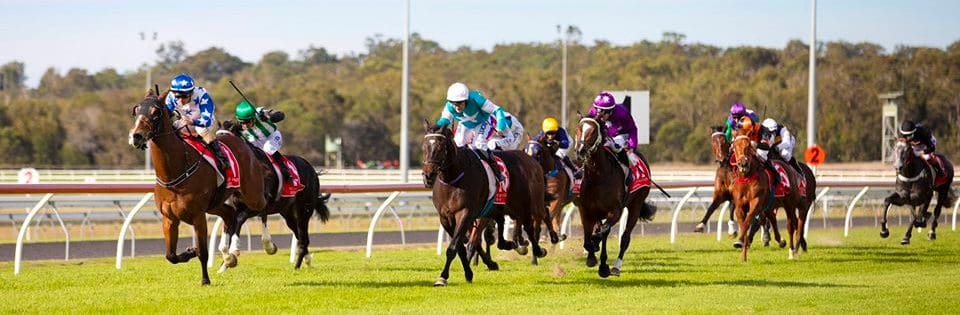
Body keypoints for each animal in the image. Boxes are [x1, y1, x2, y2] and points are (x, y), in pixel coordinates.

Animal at [127, 89, 268, 286]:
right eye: (137, 110)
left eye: (156, 112)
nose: (136, 136)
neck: (175, 172)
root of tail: (241, 141)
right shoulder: (169, 218)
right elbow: (170, 255)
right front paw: (189, 252)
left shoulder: (198, 215)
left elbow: (203, 252)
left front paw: (205, 279)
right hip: (216, 204)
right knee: (231, 215)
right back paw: (229, 256)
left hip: (252, 193)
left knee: (259, 208)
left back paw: (261, 245)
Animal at [422, 121, 556, 288]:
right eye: (424, 146)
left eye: (440, 147)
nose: (428, 175)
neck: (453, 179)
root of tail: (530, 159)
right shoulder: (445, 218)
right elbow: (460, 246)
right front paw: (468, 273)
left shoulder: (466, 213)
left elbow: (456, 246)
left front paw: (443, 277)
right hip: (502, 208)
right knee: (504, 231)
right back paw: (511, 245)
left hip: (526, 204)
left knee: (532, 225)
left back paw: (537, 250)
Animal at [572, 116, 656, 278]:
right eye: (578, 128)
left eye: (594, 131)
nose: (580, 151)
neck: (598, 177)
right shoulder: (586, 210)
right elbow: (588, 235)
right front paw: (591, 257)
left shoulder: (615, 211)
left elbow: (603, 232)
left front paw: (603, 266)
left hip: (635, 206)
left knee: (625, 237)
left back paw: (616, 266)